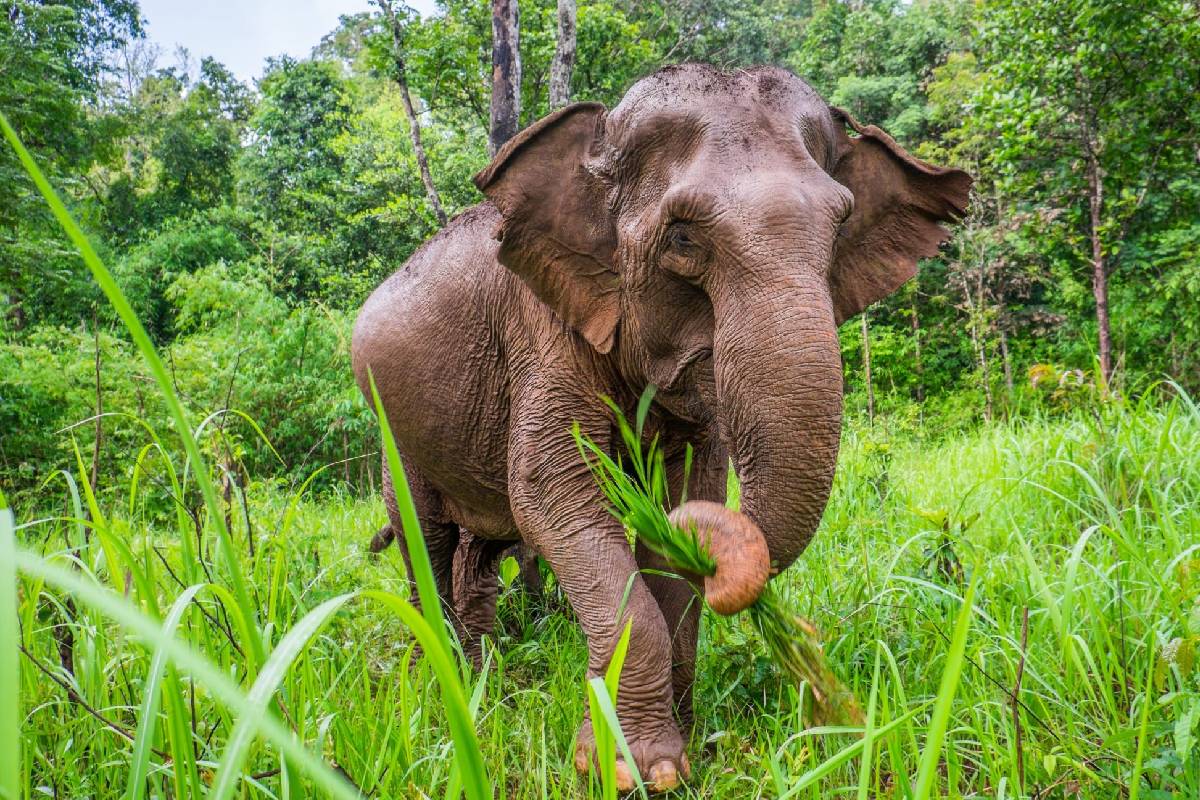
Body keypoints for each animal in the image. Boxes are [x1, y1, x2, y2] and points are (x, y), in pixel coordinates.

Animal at [352, 63, 971, 791]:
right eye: (682, 237)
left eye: (841, 226)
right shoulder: (541, 329)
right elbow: (552, 494)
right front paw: (626, 769)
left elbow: (683, 503)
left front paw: (683, 748)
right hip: (394, 435)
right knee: (428, 540)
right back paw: (448, 685)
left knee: (477, 553)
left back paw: (487, 681)